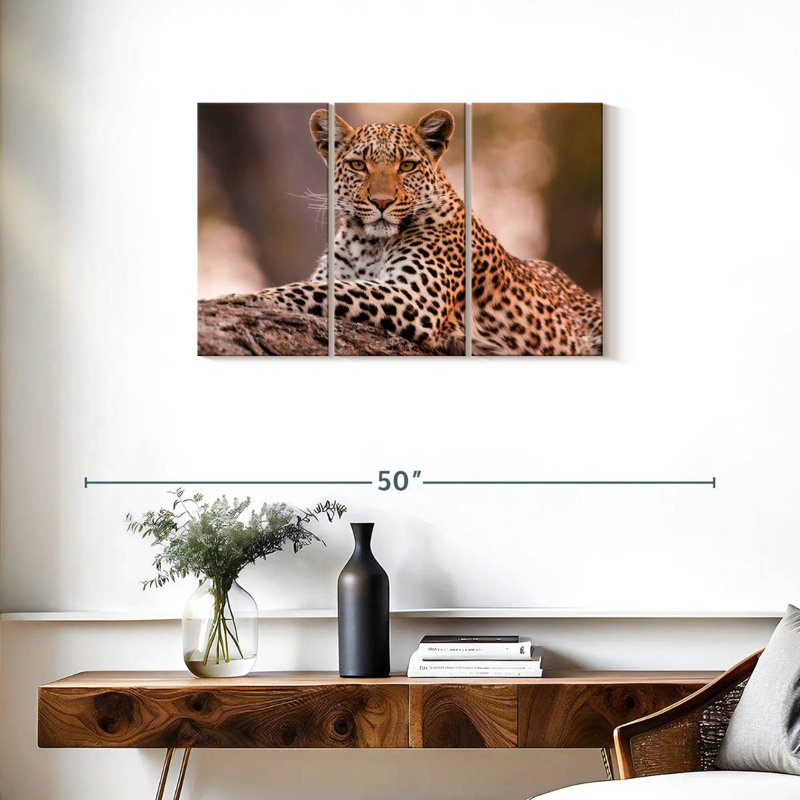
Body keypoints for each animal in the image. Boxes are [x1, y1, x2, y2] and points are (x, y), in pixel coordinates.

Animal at [257, 108, 602, 355]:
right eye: (358, 165)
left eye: (407, 166)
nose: (381, 202)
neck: (368, 243)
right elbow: (322, 286)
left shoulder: (417, 297)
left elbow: (320, 290)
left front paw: (250, 297)